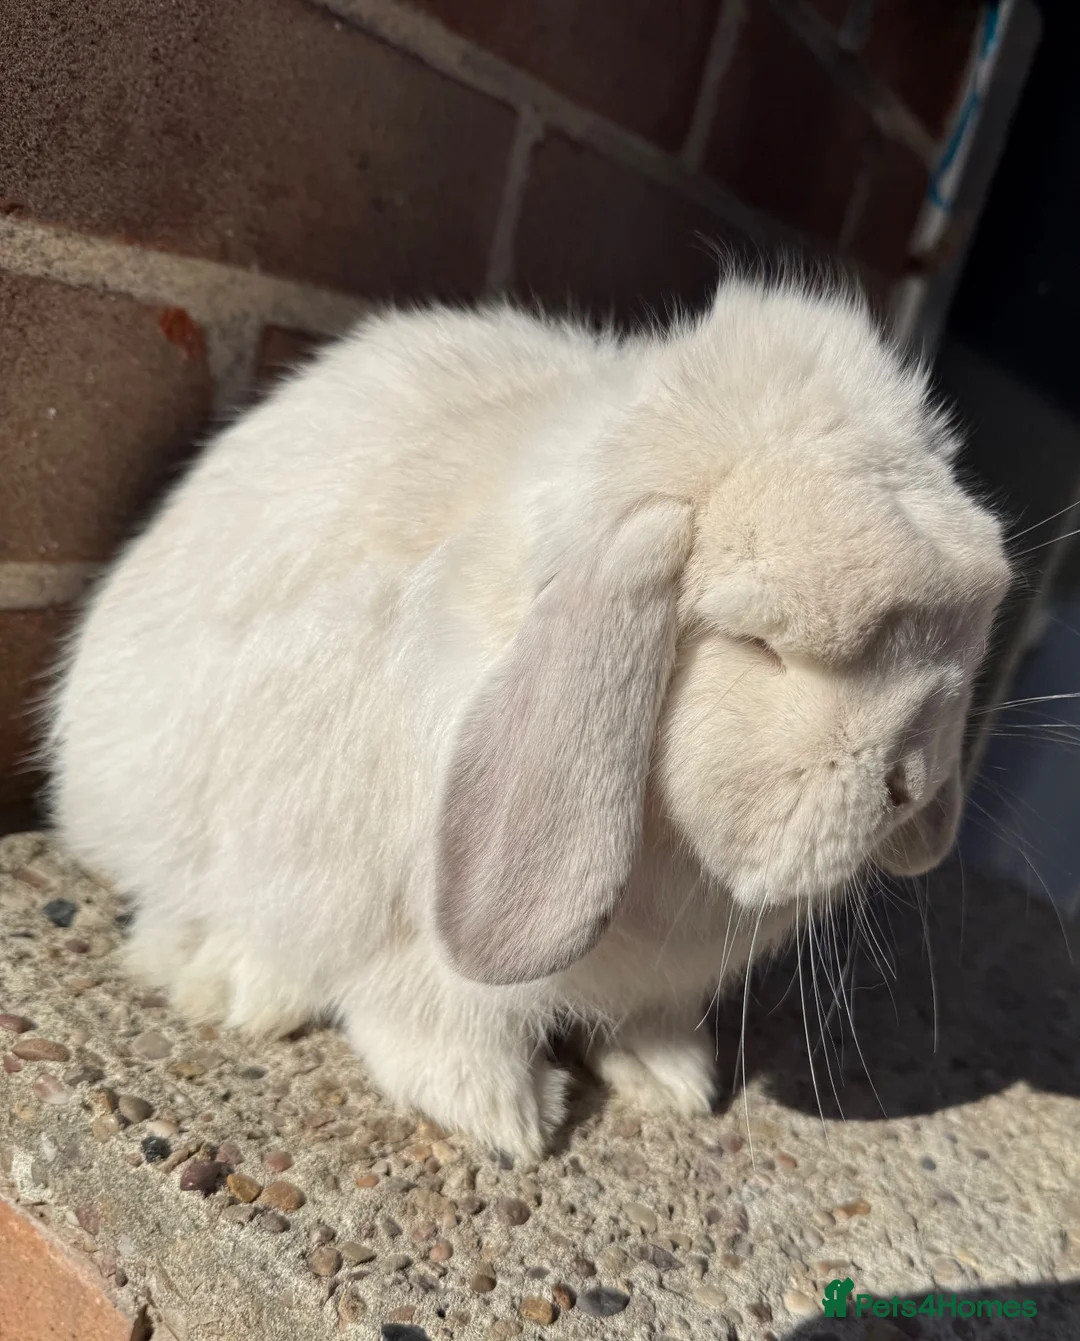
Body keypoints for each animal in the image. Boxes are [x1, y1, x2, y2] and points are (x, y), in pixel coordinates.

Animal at [47, 279, 1011, 1158]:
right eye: (758, 643)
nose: (908, 784)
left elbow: (644, 1022)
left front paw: (673, 1082)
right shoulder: (412, 934)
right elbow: (437, 1016)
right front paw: (504, 1120)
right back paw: (230, 982)